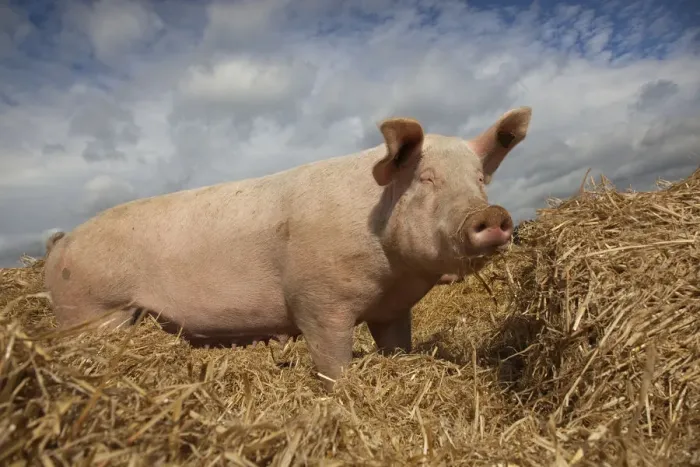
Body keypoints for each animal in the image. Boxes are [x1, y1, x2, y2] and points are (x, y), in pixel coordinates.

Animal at [43, 106, 532, 391]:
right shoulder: (317, 301)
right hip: (92, 312)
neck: (392, 269)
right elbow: (333, 364)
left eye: (480, 179)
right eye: (427, 178)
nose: (491, 214)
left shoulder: (393, 310)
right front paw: (343, 396)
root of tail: (61, 244)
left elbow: (397, 348)